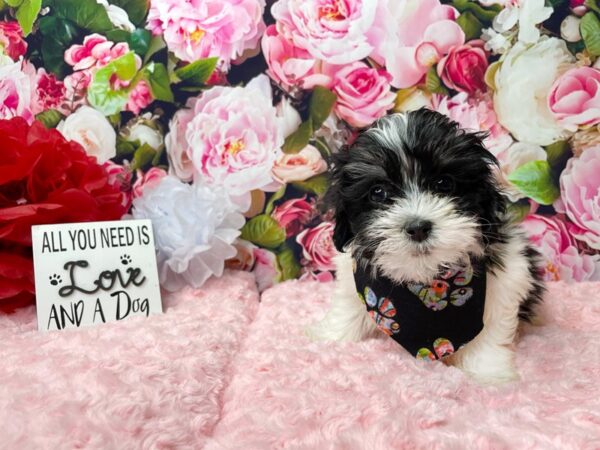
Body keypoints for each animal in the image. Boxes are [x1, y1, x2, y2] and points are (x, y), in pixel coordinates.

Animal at [308, 109, 548, 384]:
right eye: (378, 192)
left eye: (443, 183)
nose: (418, 228)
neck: (424, 279)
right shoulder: (355, 280)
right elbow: (348, 308)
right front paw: (330, 336)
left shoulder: (507, 281)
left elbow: (490, 333)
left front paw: (489, 374)